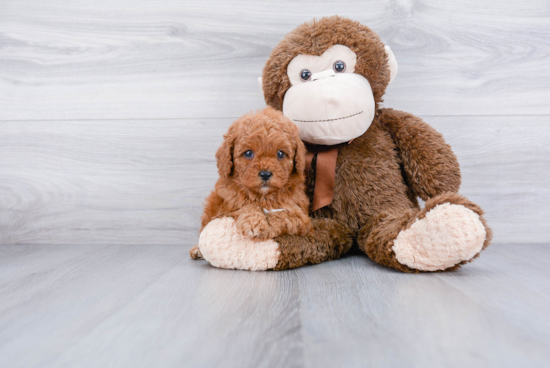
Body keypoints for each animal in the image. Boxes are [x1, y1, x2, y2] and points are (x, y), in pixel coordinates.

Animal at [190, 108, 310, 260]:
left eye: (280, 154)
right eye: (248, 153)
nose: (265, 174)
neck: (263, 196)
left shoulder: (302, 217)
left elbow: (284, 214)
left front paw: (266, 225)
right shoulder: (225, 209)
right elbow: (245, 206)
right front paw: (254, 222)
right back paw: (197, 249)